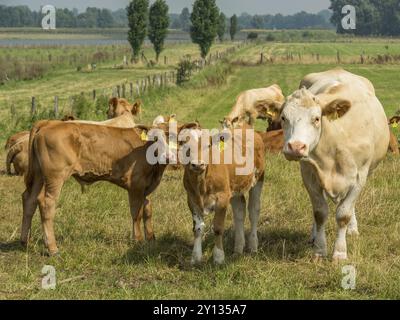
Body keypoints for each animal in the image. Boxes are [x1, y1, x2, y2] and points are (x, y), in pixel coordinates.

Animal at [21, 119, 198, 255]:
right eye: (154, 139)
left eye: (175, 137)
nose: (168, 156)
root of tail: (49, 122)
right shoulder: (136, 185)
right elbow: (137, 213)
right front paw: (138, 240)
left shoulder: (146, 187)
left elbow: (148, 210)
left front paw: (151, 238)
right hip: (55, 177)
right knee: (46, 204)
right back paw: (52, 248)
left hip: (38, 175)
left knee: (30, 199)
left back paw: (24, 241)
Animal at [180, 124, 266, 264]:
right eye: (184, 144)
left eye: (208, 145)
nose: (197, 164)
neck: (202, 184)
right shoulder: (191, 199)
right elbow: (198, 229)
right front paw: (195, 257)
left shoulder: (222, 198)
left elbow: (218, 227)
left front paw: (219, 257)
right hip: (234, 187)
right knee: (239, 212)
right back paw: (238, 248)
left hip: (258, 179)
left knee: (254, 211)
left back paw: (253, 246)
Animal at [276, 69, 390, 262]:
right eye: (283, 118)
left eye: (316, 119)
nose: (295, 147)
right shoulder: (309, 175)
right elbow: (320, 212)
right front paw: (319, 250)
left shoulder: (360, 176)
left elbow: (344, 214)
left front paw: (340, 252)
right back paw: (314, 235)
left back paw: (352, 229)